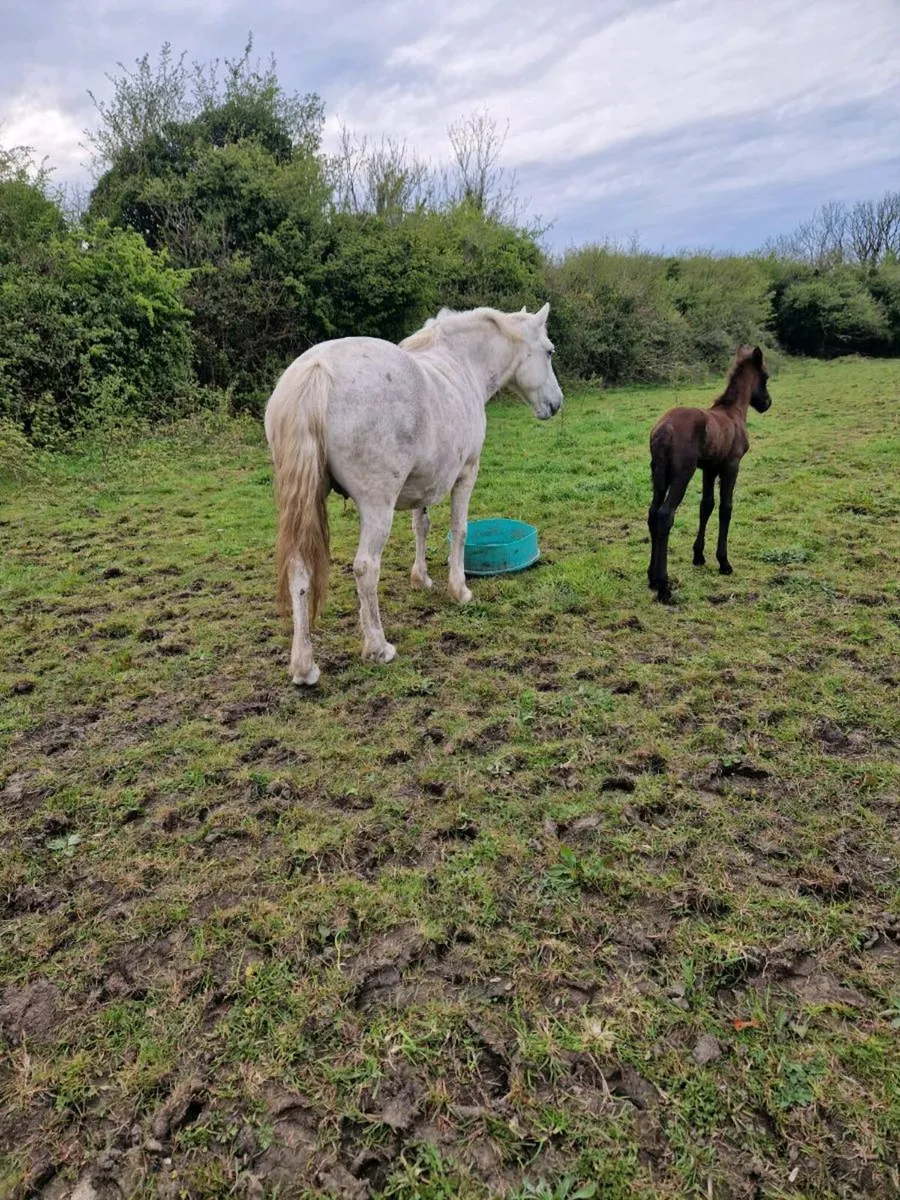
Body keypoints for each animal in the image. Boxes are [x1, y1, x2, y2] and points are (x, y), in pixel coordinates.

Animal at [264, 304, 563, 684]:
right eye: (549, 351)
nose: (556, 404)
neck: (461, 362)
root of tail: (317, 370)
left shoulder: (425, 482)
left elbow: (421, 526)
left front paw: (421, 579)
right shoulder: (466, 474)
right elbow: (459, 531)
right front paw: (459, 590)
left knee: (299, 569)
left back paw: (304, 666)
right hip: (377, 507)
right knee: (366, 568)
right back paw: (378, 647)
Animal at [647, 345, 772, 603]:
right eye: (765, 377)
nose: (767, 403)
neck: (733, 413)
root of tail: (663, 429)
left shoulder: (710, 469)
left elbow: (706, 506)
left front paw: (698, 556)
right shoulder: (731, 466)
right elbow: (726, 508)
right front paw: (724, 562)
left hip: (659, 476)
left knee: (653, 513)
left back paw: (652, 579)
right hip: (682, 474)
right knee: (665, 515)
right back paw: (664, 586)